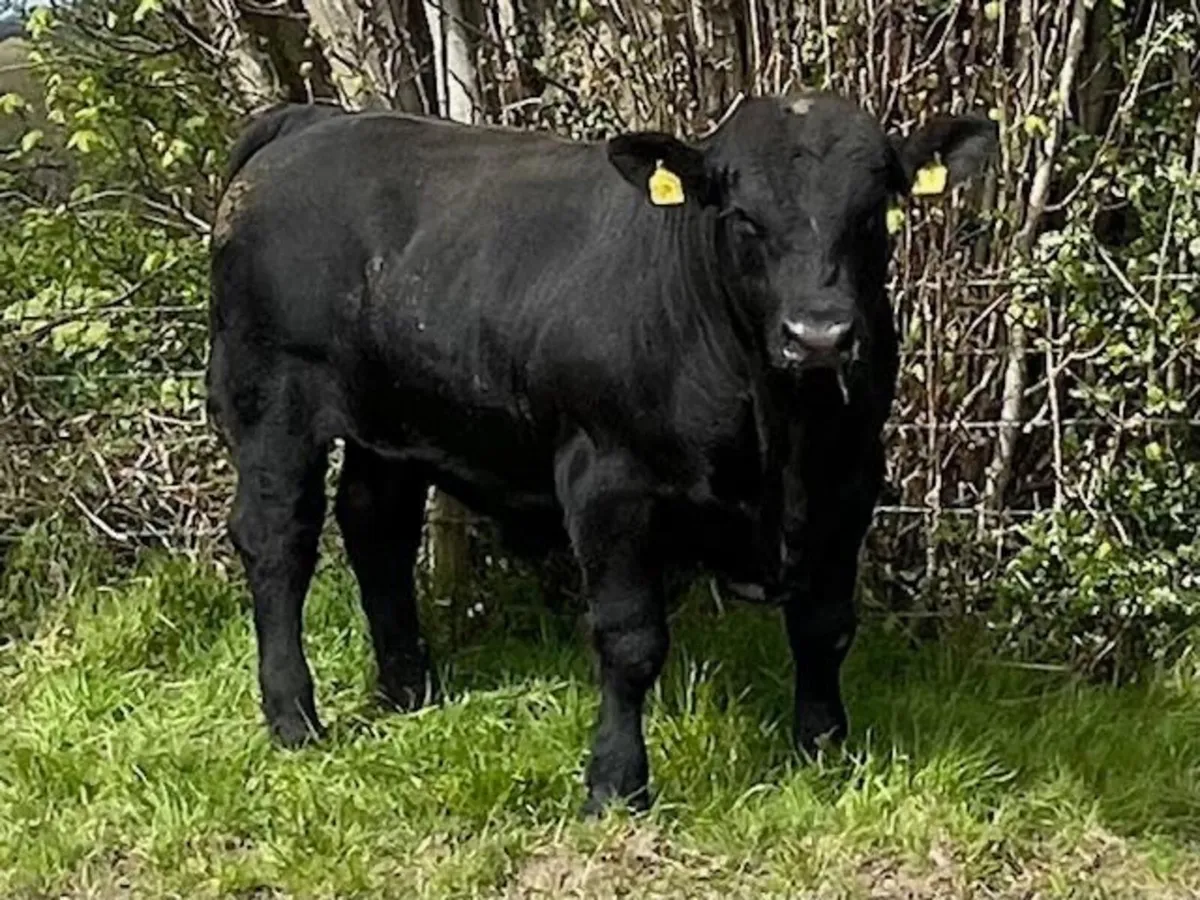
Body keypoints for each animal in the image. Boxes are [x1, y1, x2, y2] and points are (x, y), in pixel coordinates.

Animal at [206, 93, 997, 815]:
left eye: (873, 213)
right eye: (743, 216)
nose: (820, 335)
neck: (781, 430)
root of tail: (317, 119)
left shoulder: (851, 478)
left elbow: (824, 627)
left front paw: (823, 749)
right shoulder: (609, 483)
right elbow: (630, 640)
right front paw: (616, 784)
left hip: (394, 419)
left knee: (377, 529)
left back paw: (410, 690)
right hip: (271, 396)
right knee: (278, 541)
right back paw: (294, 717)